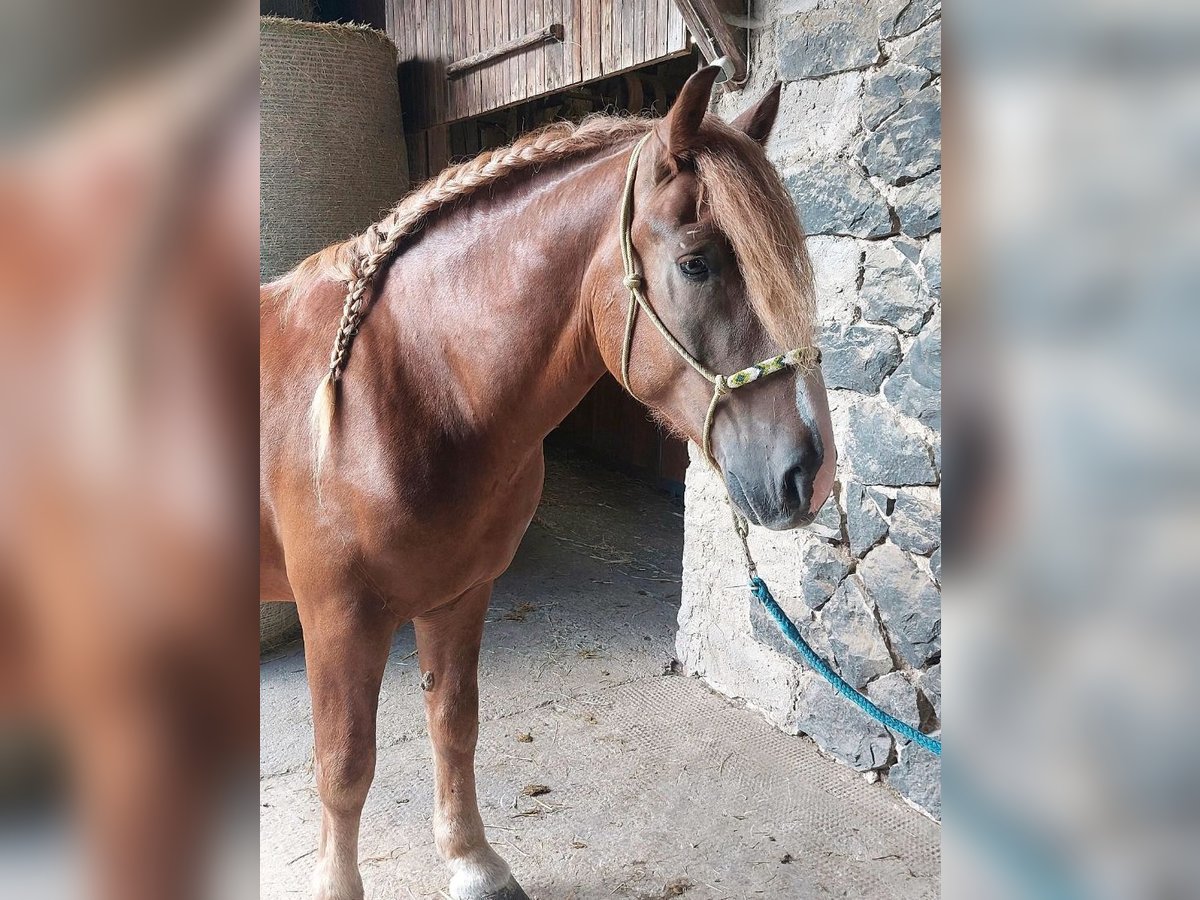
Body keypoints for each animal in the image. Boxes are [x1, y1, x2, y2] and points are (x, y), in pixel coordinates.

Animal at [259, 64, 836, 900]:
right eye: (697, 263)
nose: (808, 474)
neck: (400, 385)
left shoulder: (461, 595)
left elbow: (454, 725)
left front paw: (473, 861)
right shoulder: (338, 616)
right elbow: (343, 766)